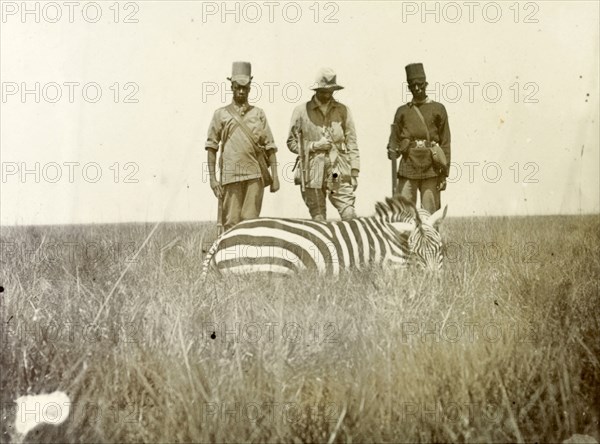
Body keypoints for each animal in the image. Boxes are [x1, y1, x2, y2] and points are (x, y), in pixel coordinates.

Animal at [202, 195, 446, 280]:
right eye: (416, 252)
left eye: (441, 249)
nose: (434, 284)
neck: (393, 238)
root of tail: (223, 237)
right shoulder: (392, 269)